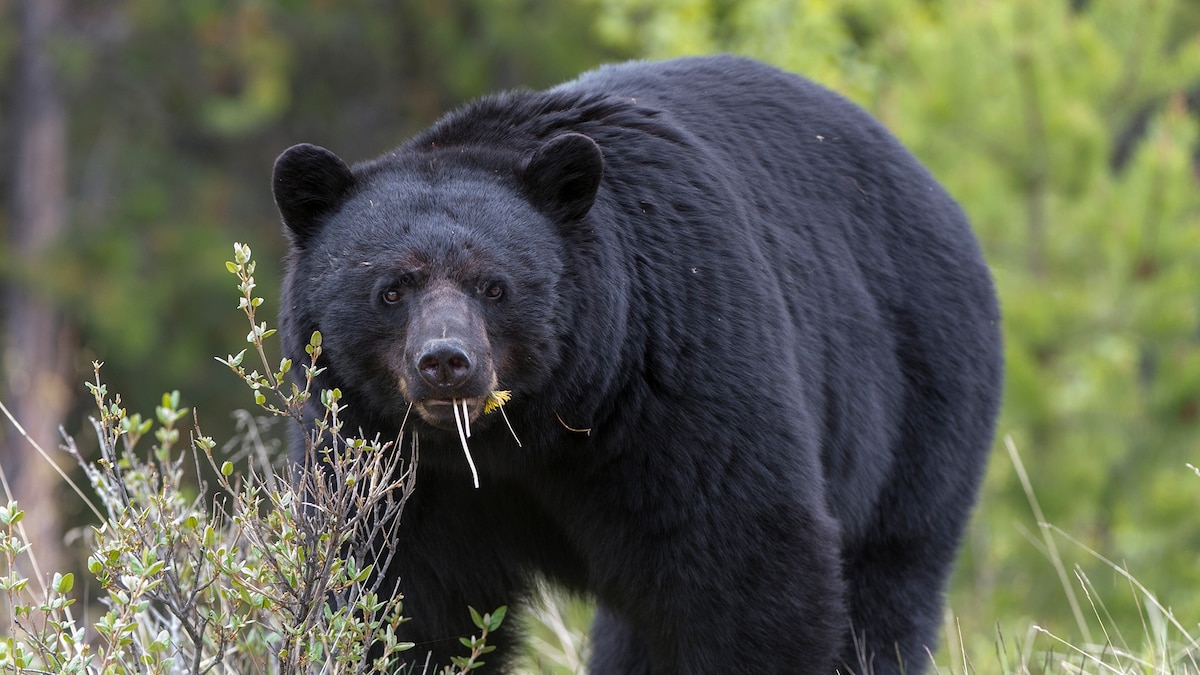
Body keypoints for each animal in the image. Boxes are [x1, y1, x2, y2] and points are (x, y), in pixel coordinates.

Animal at [272, 55, 1003, 667]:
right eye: (392, 288)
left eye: (494, 286)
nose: (447, 363)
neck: (531, 428)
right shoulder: (382, 453)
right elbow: (394, 590)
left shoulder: (677, 376)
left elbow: (745, 566)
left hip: (918, 398)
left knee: (888, 583)